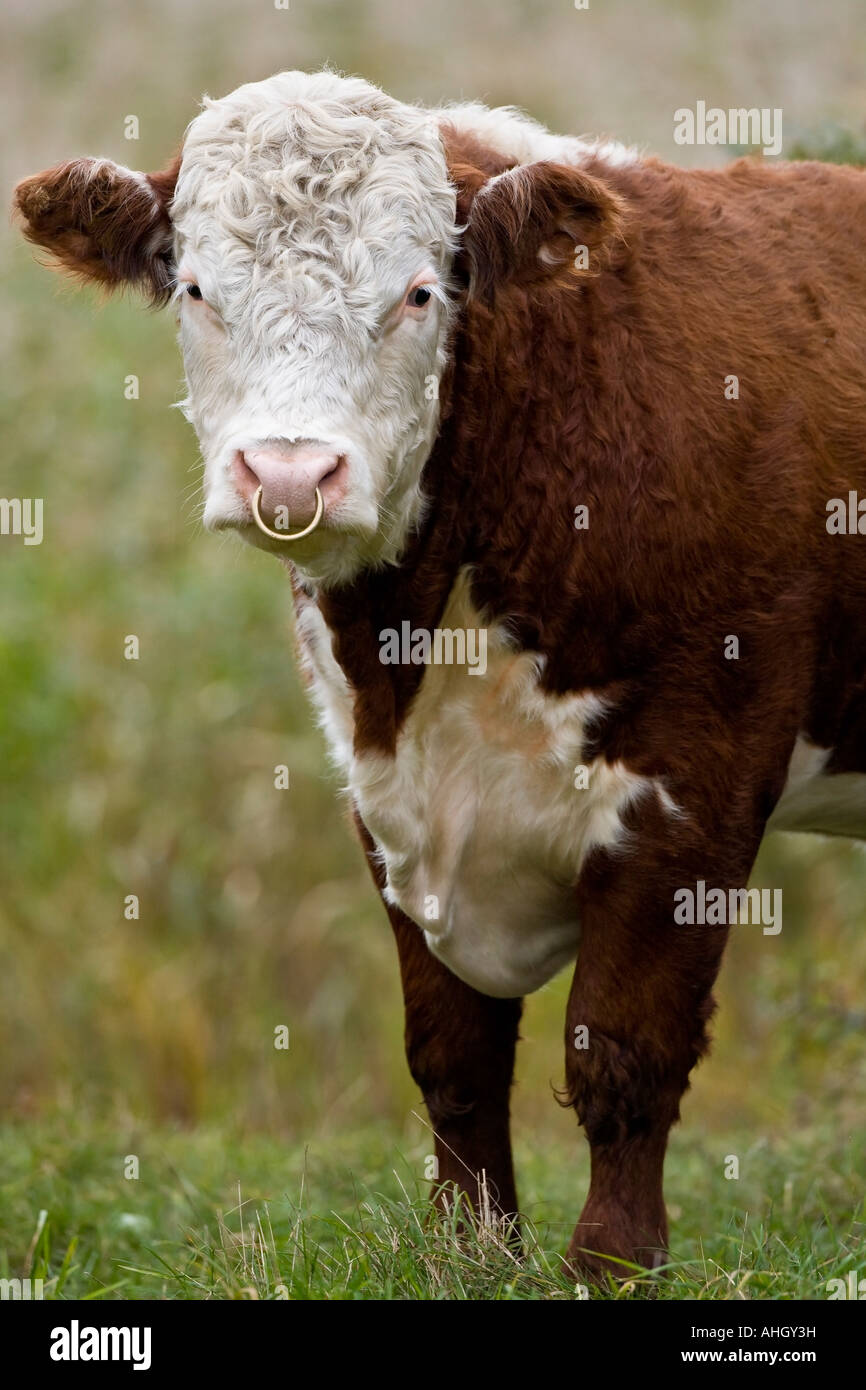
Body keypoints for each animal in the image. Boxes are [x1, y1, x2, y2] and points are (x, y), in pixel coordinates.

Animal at [14, 69, 866, 1284]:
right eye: (195, 288)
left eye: (419, 294)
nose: (289, 474)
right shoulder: (383, 792)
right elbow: (452, 1053)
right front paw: (470, 1256)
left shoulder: (698, 775)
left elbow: (624, 1047)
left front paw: (610, 1264)